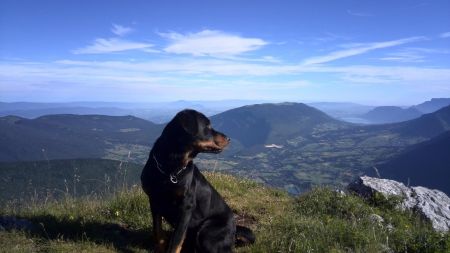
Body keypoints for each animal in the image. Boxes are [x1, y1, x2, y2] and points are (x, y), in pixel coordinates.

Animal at [141, 109, 255, 253]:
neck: (171, 168)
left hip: (206, 231)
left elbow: (176, 241)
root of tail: (234, 230)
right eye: (207, 126)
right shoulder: (154, 201)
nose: (229, 138)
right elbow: (158, 233)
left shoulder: (185, 207)